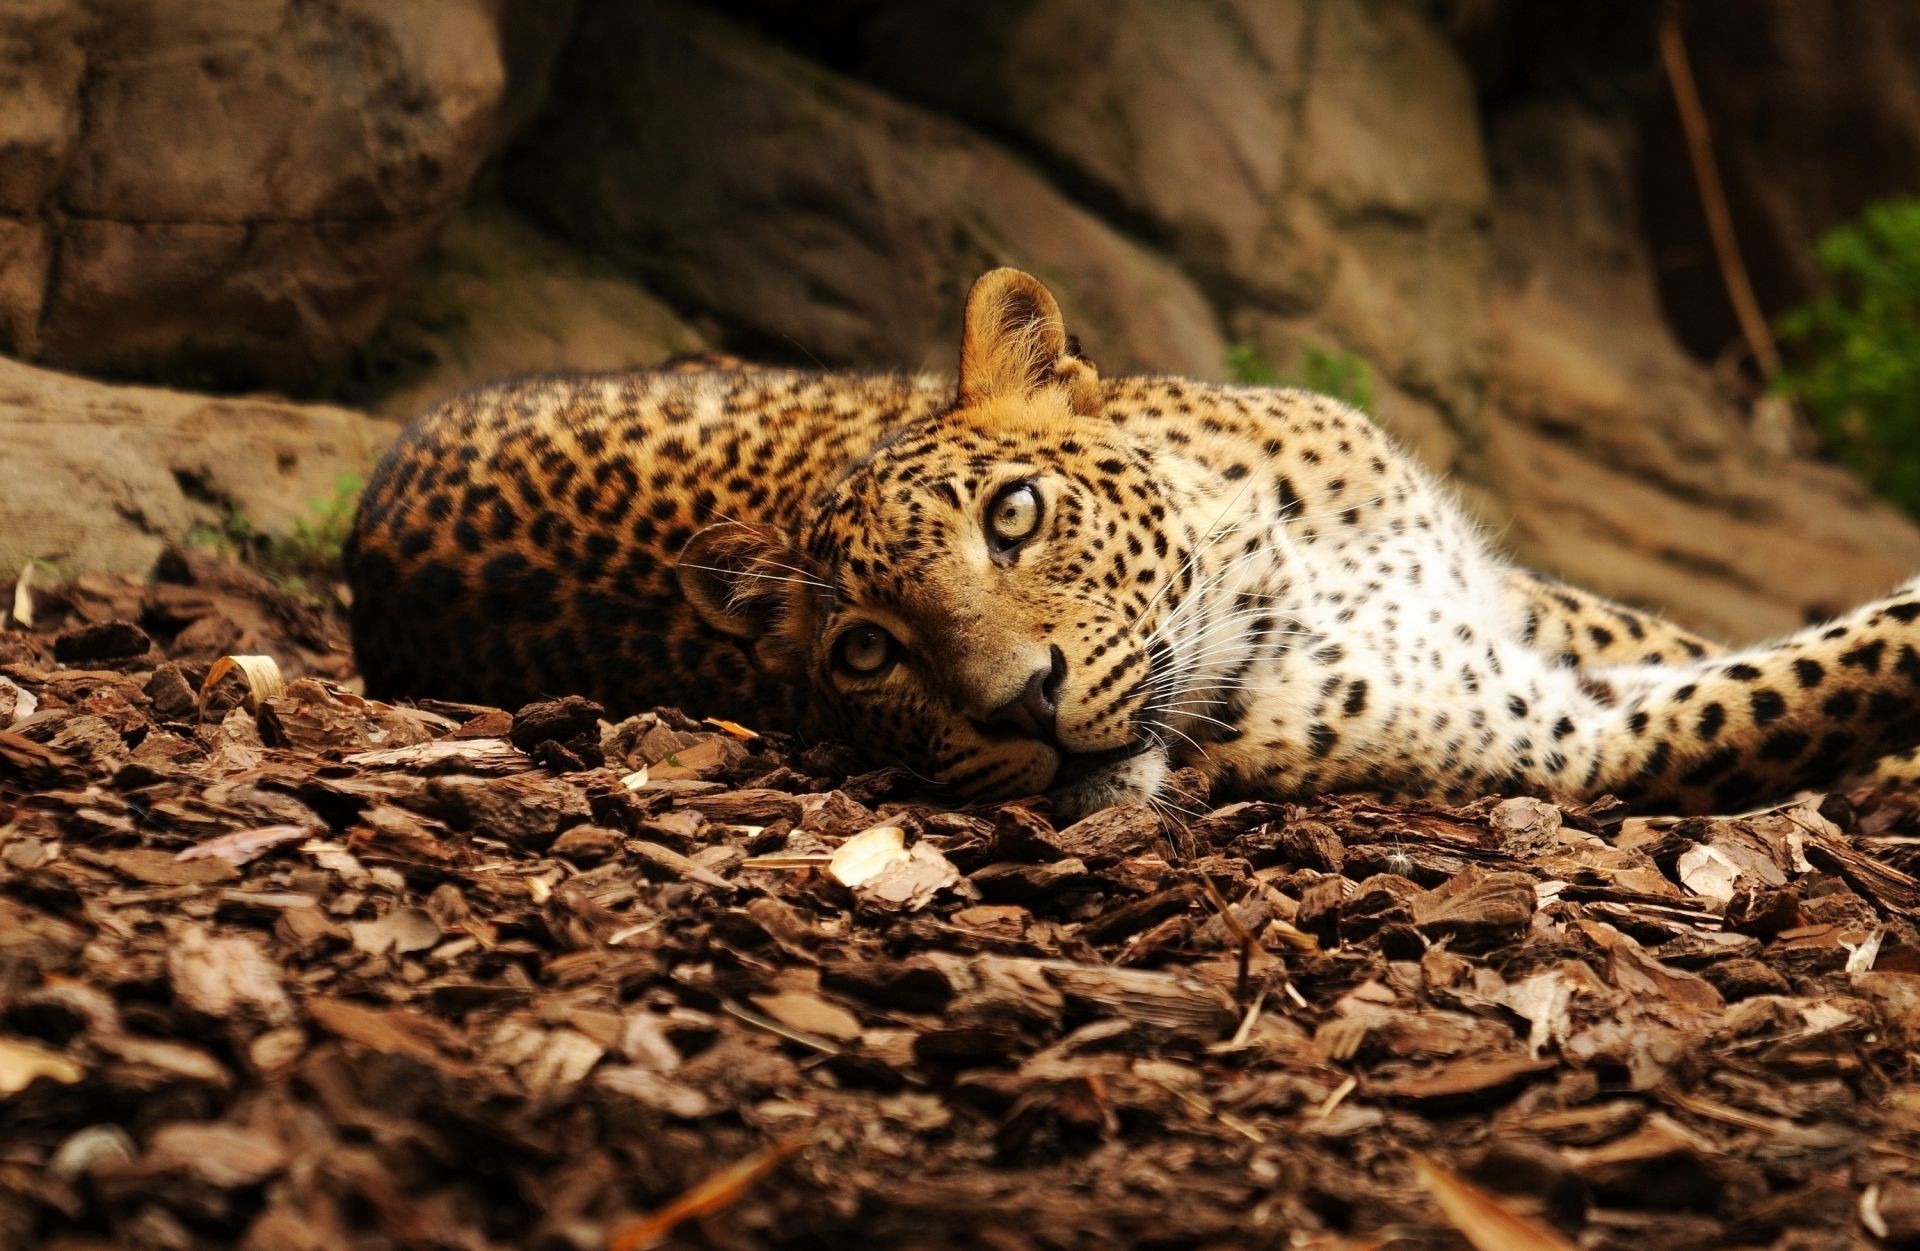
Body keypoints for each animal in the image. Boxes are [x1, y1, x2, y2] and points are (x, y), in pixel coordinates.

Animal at [353, 266, 1920, 821]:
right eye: (866, 653)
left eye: (1014, 515)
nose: (1019, 711)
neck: (1278, 572)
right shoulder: (1571, 737)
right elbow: (1833, 672)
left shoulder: (1510, 600)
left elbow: (1695, 632)